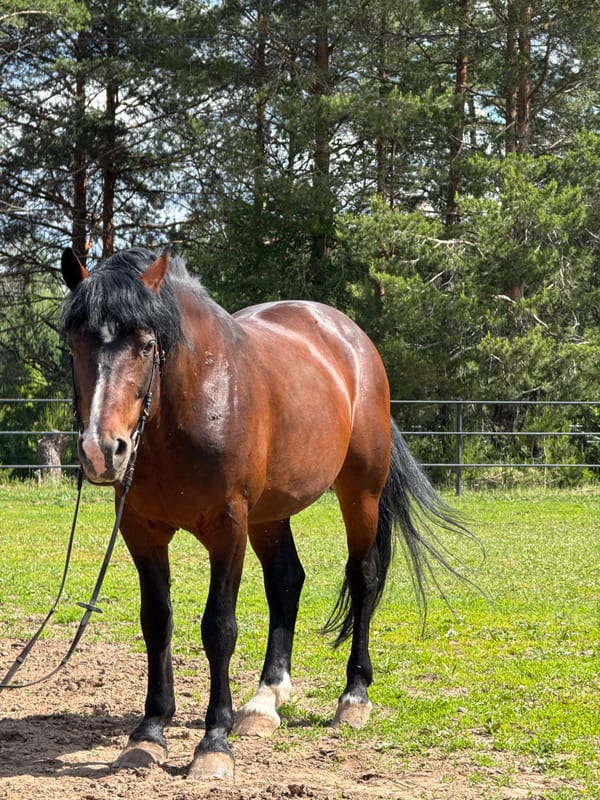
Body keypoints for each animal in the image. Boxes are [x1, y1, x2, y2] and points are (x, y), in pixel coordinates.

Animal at [59, 246, 471, 780]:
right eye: (74, 344)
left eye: (147, 345)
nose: (101, 451)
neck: (191, 402)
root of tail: (350, 337)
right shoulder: (140, 529)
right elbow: (157, 621)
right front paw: (149, 733)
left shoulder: (227, 527)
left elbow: (219, 628)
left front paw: (213, 744)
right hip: (270, 516)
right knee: (285, 581)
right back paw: (264, 701)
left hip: (359, 493)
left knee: (363, 578)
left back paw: (353, 697)